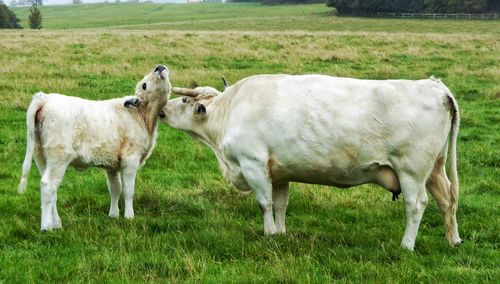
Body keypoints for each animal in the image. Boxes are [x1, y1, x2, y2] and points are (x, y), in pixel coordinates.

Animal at [18, 65, 171, 230]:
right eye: (144, 85)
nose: (159, 67)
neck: (144, 118)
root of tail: (44, 98)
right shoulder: (130, 159)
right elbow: (128, 189)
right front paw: (129, 216)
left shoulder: (112, 165)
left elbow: (115, 188)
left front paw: (113, 215)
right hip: (58, 156)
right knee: (48, 185)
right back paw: (47, 226)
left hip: (41, 155)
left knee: (51, 189)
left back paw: (56, 223)